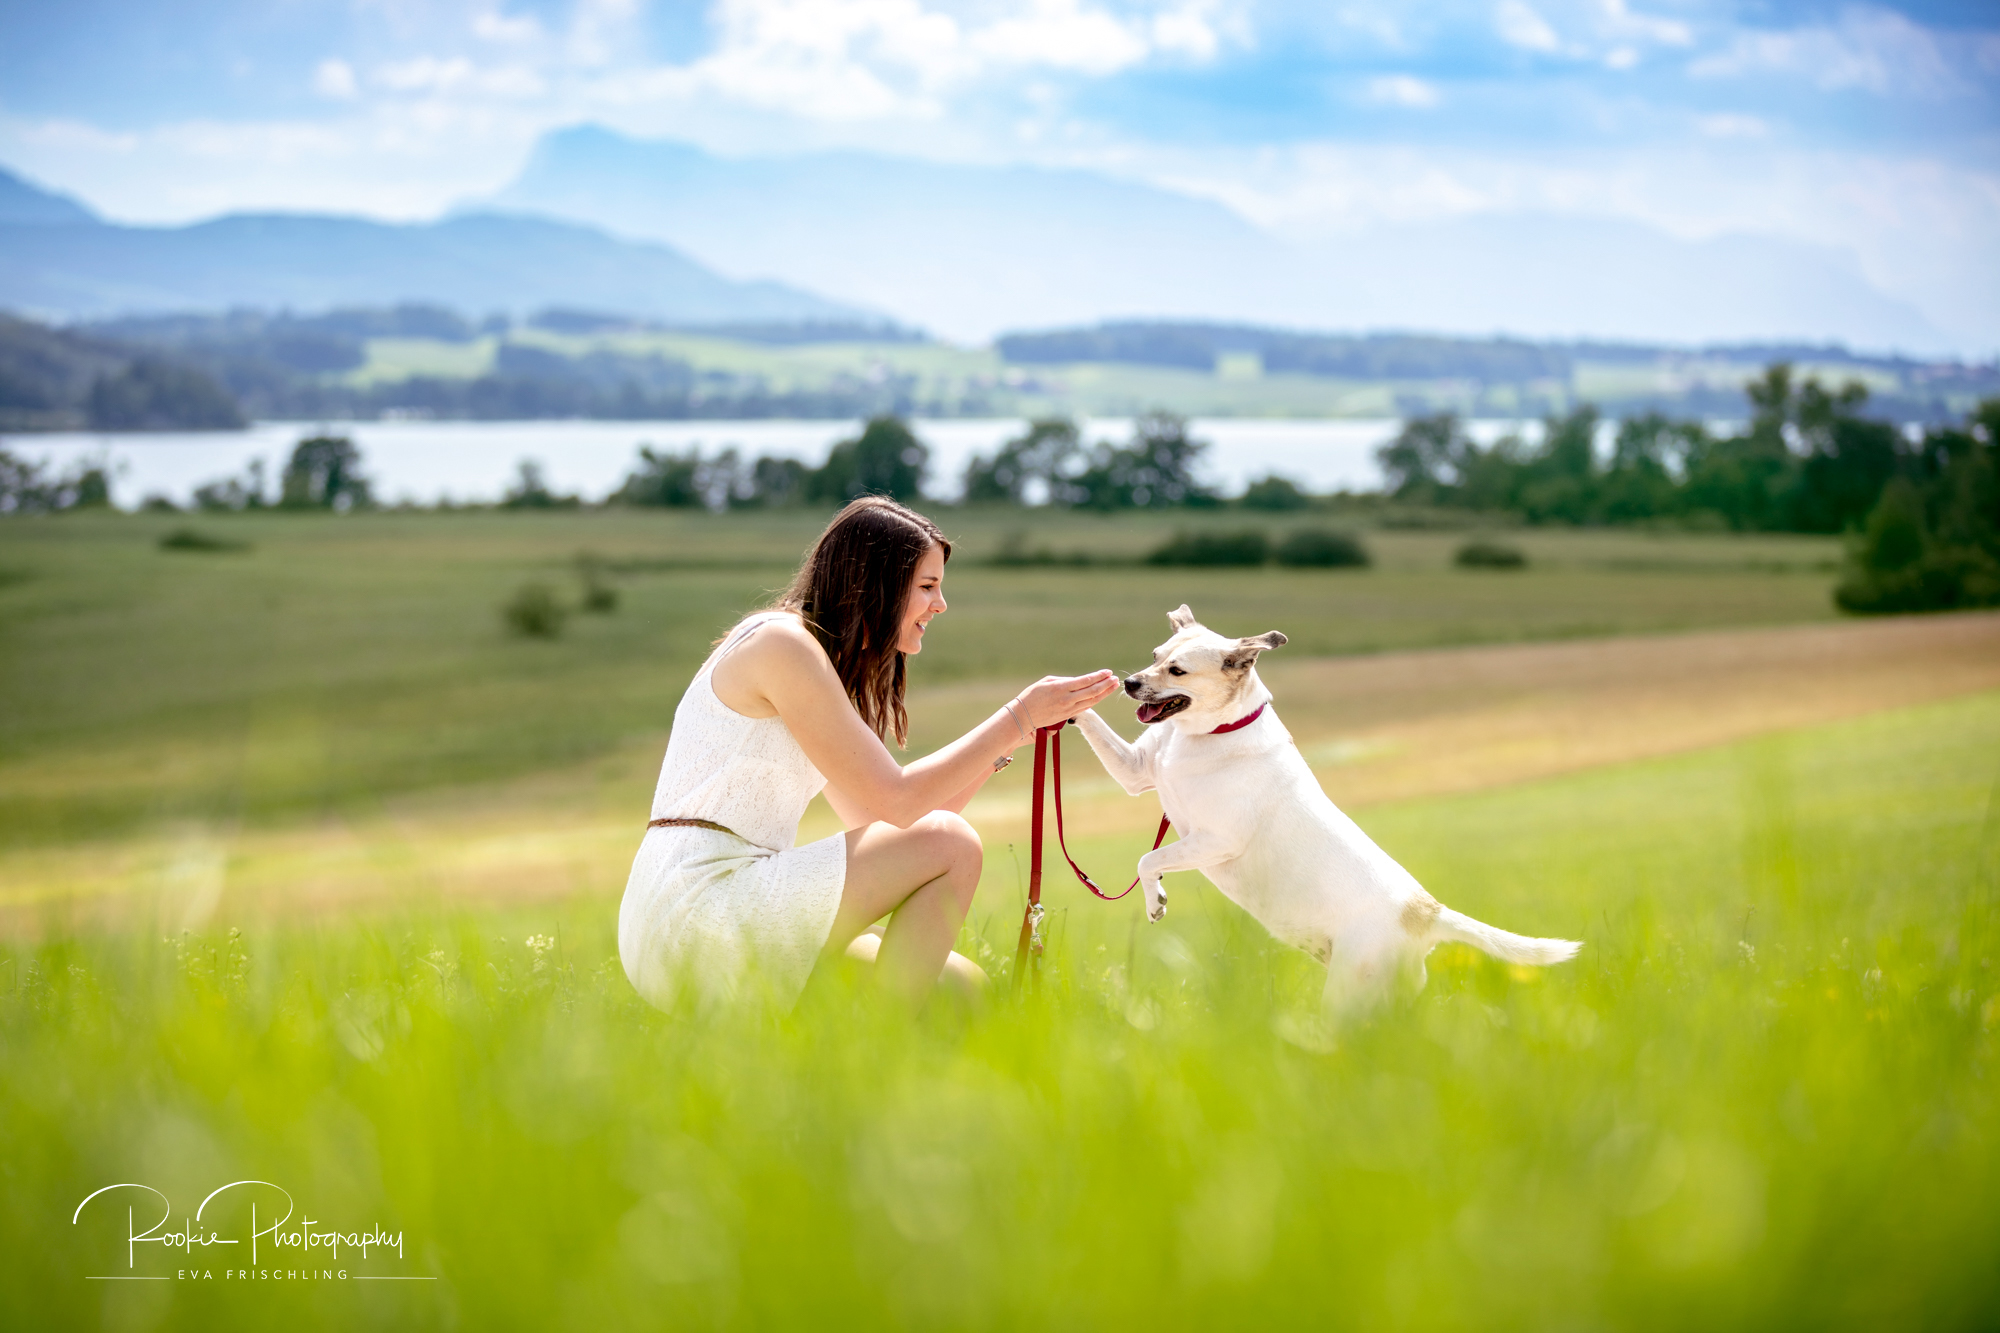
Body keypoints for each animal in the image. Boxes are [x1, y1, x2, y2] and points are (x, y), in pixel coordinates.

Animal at [1072, 604, 1580, 1014]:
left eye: (1176, 671)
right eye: (1156, 654)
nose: (1130, 682)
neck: (1209, 733)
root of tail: (1427, 912)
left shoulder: (1213, 840)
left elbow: (1148, 859)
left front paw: (1155, 900)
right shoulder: (1136, 771)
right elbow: (1096, 730)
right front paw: (1068, 697)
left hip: (1349, 993)